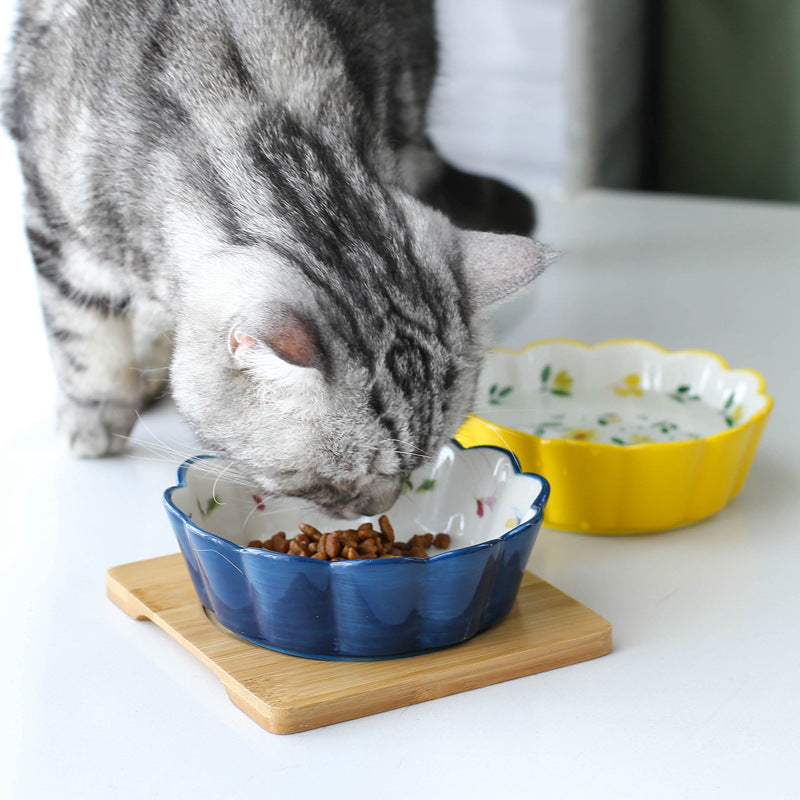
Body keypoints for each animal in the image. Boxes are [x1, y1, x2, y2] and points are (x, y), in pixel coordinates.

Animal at [3, 0, 552, 520]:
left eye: (422, 461)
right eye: (340, 477)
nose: (381, 508)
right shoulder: (57, 227)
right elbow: (83, 339)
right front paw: (95, 416)